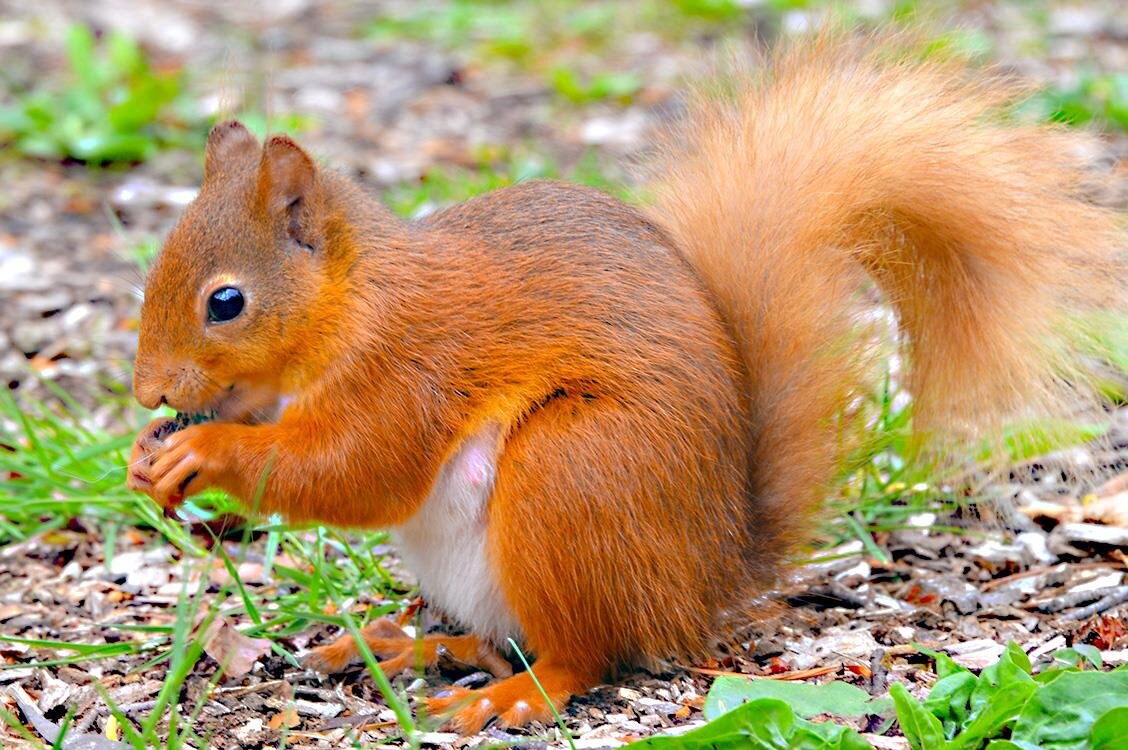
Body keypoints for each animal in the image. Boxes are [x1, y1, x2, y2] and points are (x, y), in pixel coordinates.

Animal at [127, 33, 1124, 733]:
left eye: (226, 302)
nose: (146, 395)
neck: (352, 301)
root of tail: (706, 580)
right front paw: (148, 458)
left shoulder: (412, 365)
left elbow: (356, 472)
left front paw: (206, 451)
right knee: (500, 639)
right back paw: (410, 643)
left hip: (573, 474)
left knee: (583, 656)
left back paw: (510, 696)